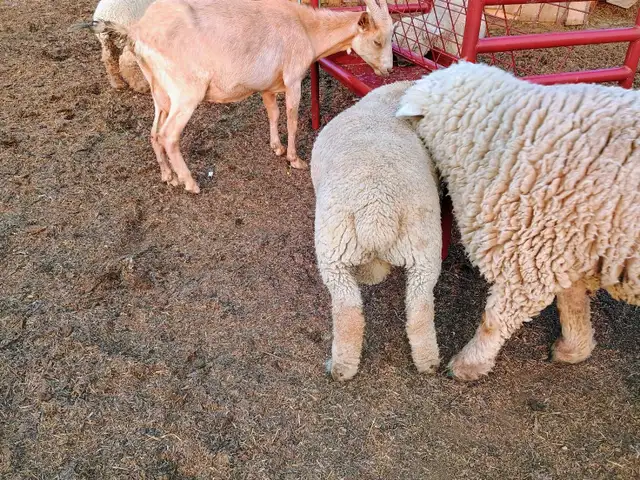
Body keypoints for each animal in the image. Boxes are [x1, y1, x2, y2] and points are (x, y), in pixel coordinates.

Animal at [72, 0, 394, 194]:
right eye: (378, 40)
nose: (389, 69)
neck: (306, 29)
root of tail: (137, 34)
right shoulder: (293, 78)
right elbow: (291, 118)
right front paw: (295, 159)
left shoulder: (268, 86)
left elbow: (273, 113)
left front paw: (276, 148)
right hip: (185, 91)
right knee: (168, 135)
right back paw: (189, 182)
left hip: (160, 90)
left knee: (153, 132)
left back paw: (168, 176)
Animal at [312, 81, 442, 381]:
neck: (387, 104)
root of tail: (377, 211)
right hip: (423, 246)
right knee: (420, 307)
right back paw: (428, 362)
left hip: (333, 252)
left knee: (348, 311)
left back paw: (342, 367)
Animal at [396, 61, 640, 381]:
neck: (505, 134)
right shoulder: (564, 247)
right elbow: (571, 301)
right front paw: (574, 348)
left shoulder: (529, 257)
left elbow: (495, 320)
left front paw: (468, 364)